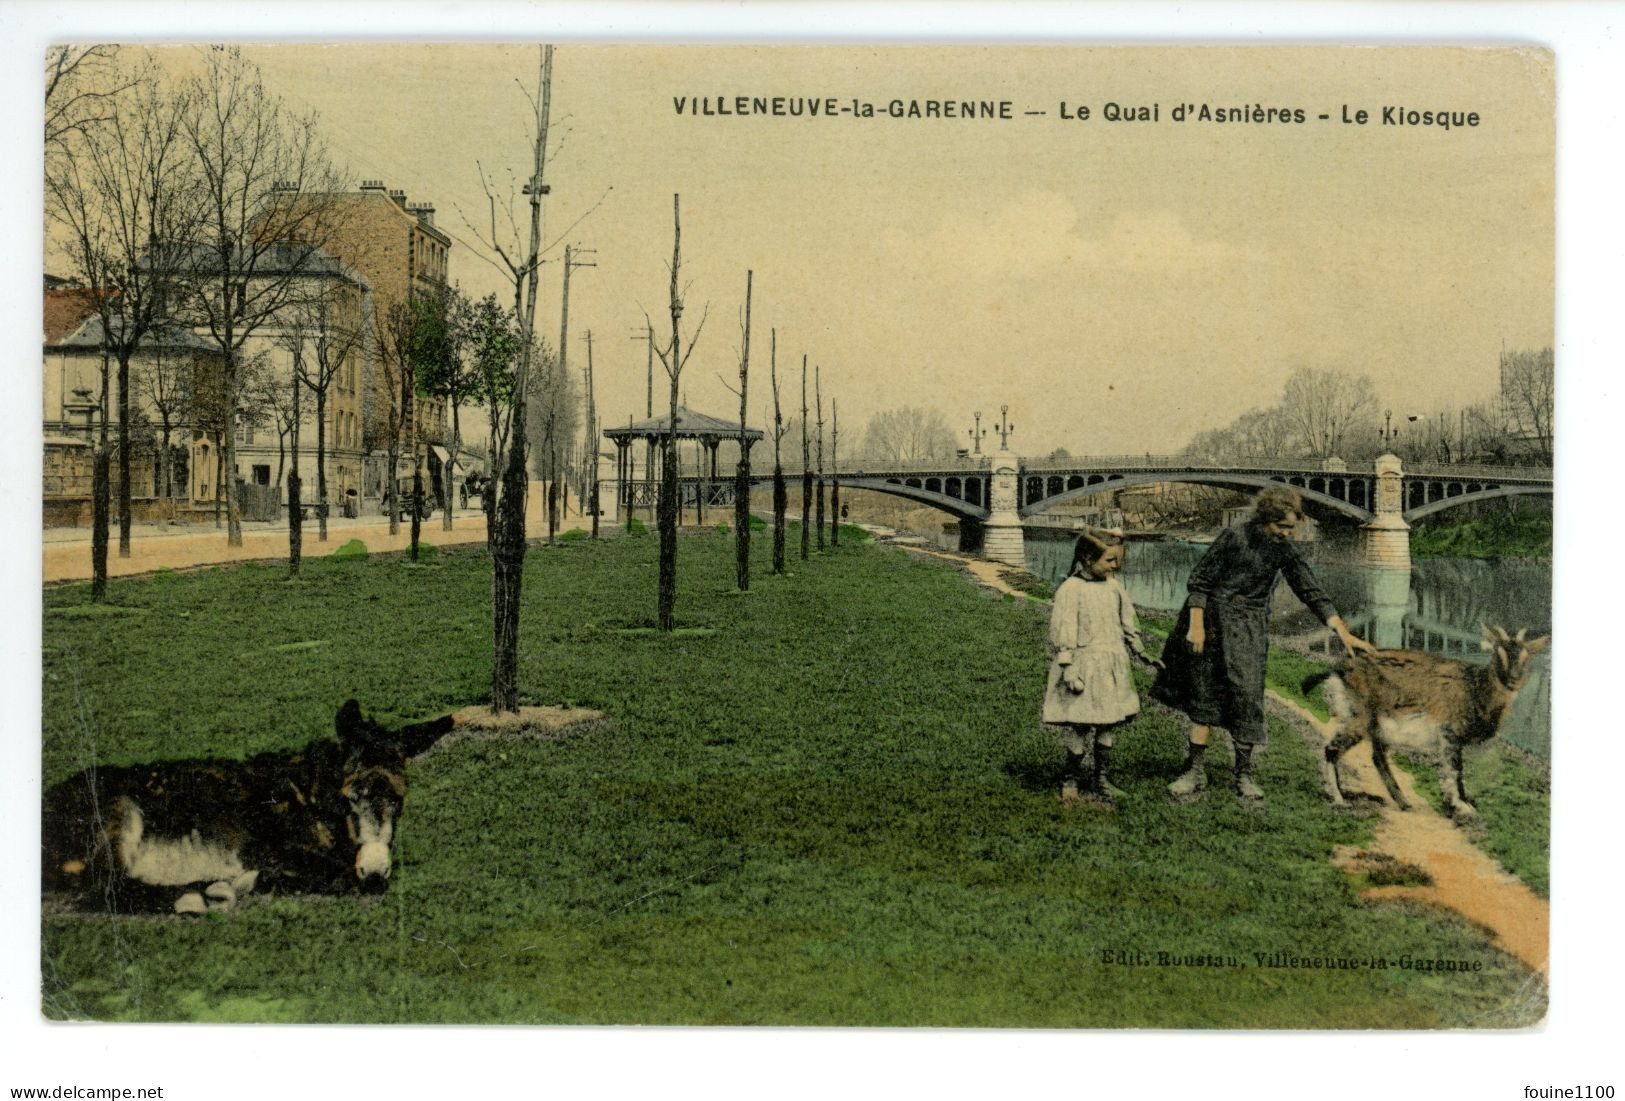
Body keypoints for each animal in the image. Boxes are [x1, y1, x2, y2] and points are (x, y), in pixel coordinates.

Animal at [1306, 630, 1547, 818]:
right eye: (1499, 653)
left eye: (1527, 655)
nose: (1513, 679)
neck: (1475, 688)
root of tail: (1340, 668)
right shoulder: (1450, 734)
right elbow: (1455, 770)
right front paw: (1464, 807)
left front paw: (1454, 805)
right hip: (1358, 720)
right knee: (1331, 749)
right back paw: (1339, 800)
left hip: (1377, 728)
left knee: (1378, 759)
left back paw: (1404, 802)